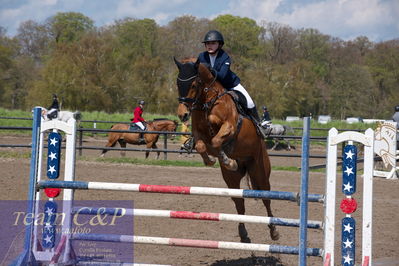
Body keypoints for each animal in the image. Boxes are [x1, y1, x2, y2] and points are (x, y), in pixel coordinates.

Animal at [175, 57, 282, 243]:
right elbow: (203, 145)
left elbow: (217, 138)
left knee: (266, 198)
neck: (206, 101)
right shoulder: (198, 133)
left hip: (259, 172)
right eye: (177, 83)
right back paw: (243, 233)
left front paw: (226, 159)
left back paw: (273, 231)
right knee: (239, 203)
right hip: (231, 180)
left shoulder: (229, 126)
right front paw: (213, 160)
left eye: (194, 84)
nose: (183, 115)